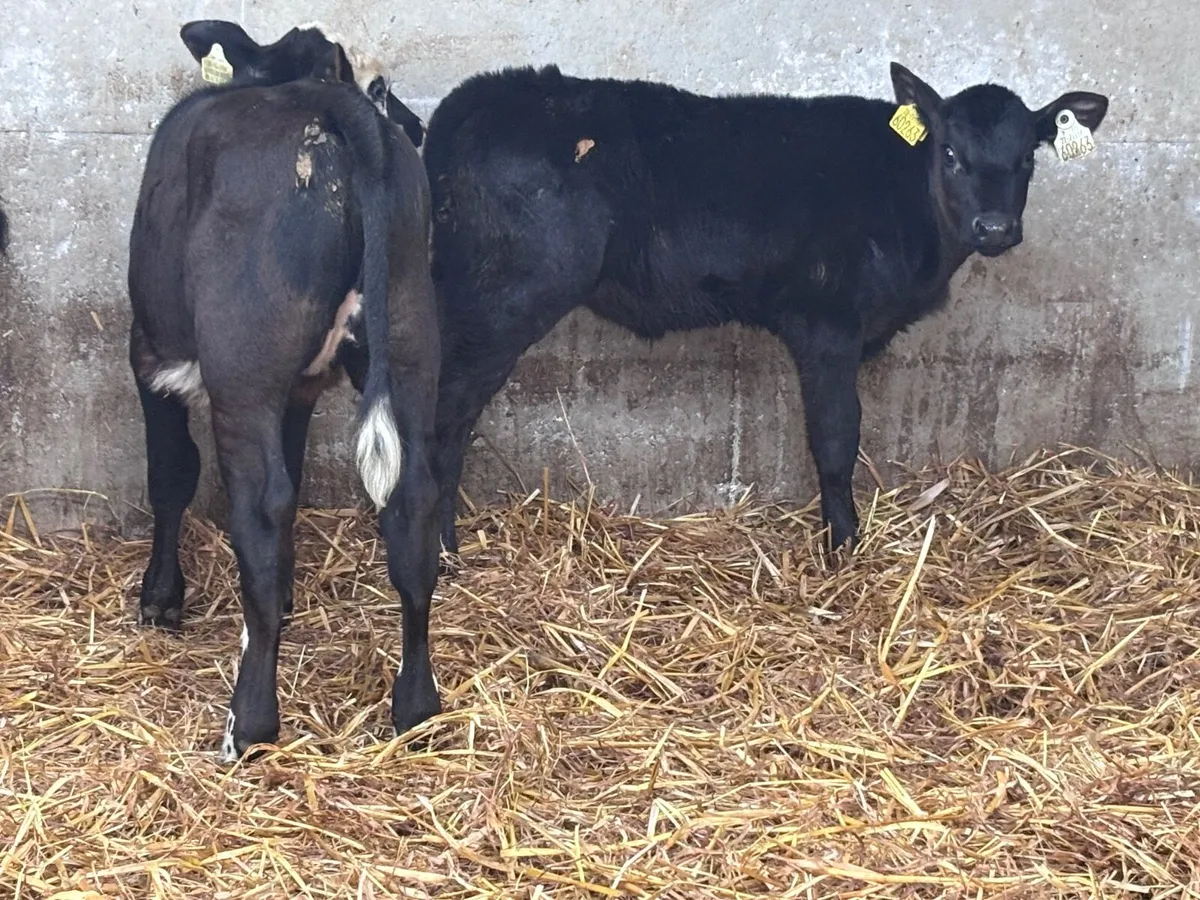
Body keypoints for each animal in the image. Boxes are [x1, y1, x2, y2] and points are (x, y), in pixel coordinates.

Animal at [128, 20, 441, 760]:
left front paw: (161, 597)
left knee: (260, 507)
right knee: (411, 499)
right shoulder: (299, 386)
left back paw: (248, 723)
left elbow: (172, 475)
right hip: (409, 339)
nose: (415, 122)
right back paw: (415, 708)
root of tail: (328, 102)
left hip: (243, 368)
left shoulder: (152, 350)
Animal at [425, 64, 1108, 553]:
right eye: (949, 153)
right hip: (502, 300)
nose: (994, 227)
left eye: (1028, 157)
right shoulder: (826, 324)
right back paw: (441, 548)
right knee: (444, 415)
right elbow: (835, 437)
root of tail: (485, 93)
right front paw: (843, 547)